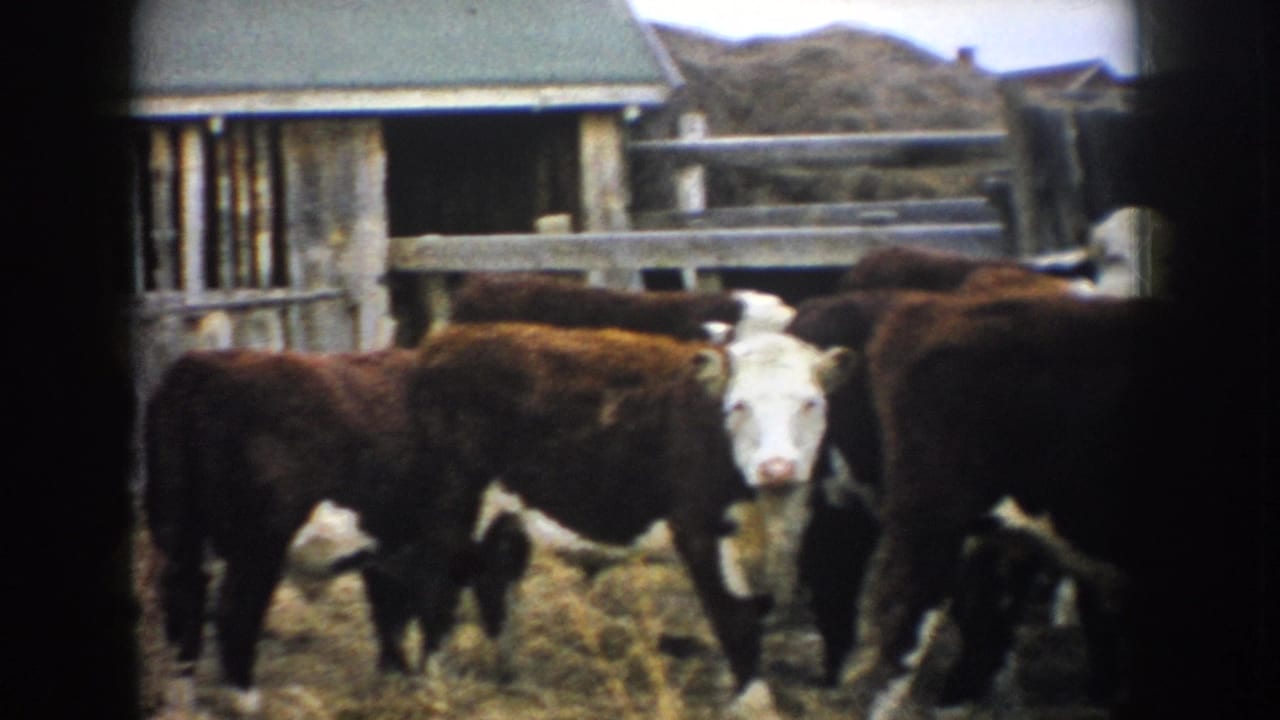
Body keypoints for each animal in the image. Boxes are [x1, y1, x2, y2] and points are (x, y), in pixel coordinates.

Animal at [143, 348, 531, 715]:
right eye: (510, 562)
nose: (509, 670)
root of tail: (198, 367)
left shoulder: (387, 548)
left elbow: (390, 615)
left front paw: (394, 675)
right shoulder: (440, 540)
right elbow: (434, 611)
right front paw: (431, 684)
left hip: (178, 532)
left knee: (183, 601)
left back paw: (182, 702)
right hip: (257, 545)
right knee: (234, 610)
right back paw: (246, 700)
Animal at [404, 322, 853, 718]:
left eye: (810, 403)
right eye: (739, 405)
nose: (776, 467)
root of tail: (446, 341)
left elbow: (754, 612)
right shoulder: (700, 529)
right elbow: (735, 616)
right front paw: (754, 702)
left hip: (507, 516)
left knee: (494, 580)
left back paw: (513, 674)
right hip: (454, 505)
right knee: (441, 582)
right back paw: (435, 680)